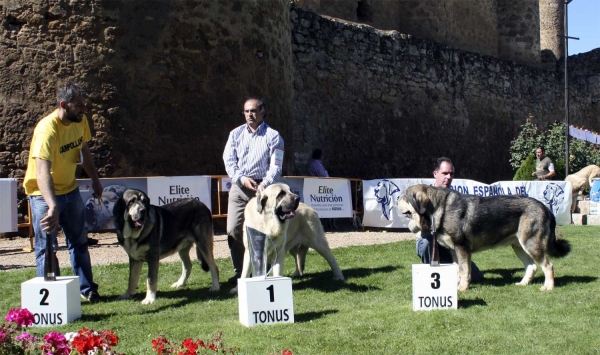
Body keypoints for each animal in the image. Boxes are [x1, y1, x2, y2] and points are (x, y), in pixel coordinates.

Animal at [398, 184, 572, 292]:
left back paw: (548, 287)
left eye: (405, 197)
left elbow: (464, 270)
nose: (397, 201)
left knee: (548, 265)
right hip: (519, 246)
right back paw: (523, 283)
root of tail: (546, 208)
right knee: (532, 267)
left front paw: (462, 288)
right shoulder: (455, 250)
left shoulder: (462, 247)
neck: (438, 208)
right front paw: (457, 285)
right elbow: (459, 270)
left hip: (530, 244)